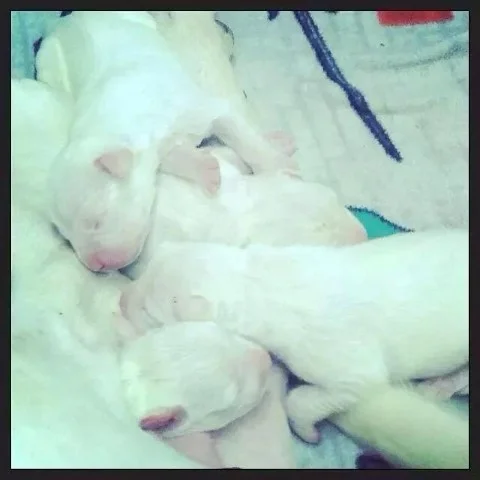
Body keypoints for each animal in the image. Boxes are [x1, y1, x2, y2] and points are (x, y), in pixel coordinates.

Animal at [37, 11, 297, 272]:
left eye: (96, 221)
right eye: (66, 237)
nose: (95, 267)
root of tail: (61, 21)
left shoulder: (205, 109)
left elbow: (242, 136)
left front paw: (277, 164)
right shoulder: (157, 148)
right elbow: (177, 156)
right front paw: (206, 169)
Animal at [117, 230, 468, 444]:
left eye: (150, 312)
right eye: (144, 271)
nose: (120, 300)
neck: (259, 281)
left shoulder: (346, 363)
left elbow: (311, 397)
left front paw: (307, 432)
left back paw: (438, 387)